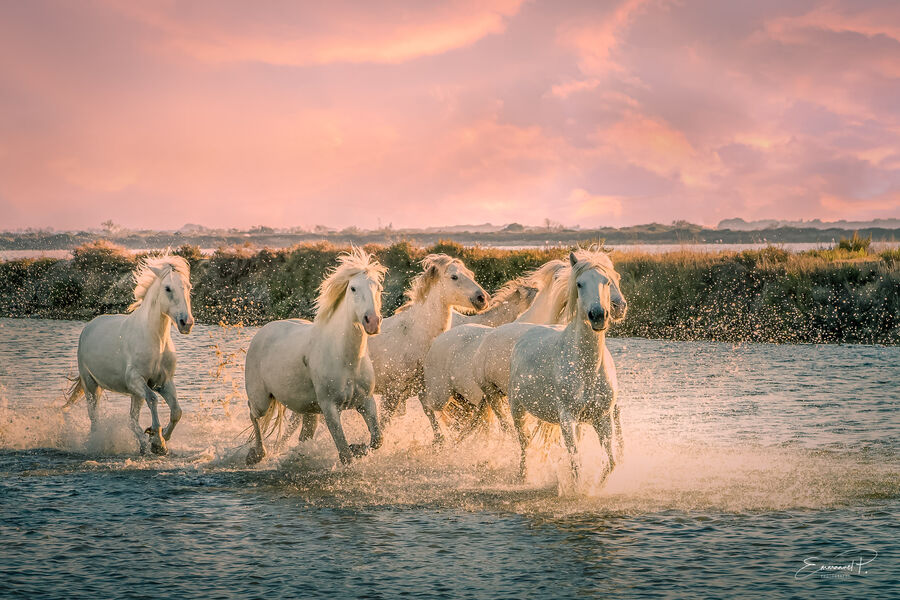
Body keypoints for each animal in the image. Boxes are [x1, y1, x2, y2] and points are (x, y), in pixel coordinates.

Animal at [65, 254, 194, 455]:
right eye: (167, 288)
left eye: (188, 287)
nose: (186, 323)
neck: (155, 339)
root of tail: (89, 326)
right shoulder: (136, 380)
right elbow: (153, 399)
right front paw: (157, 440)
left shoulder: (164, 382)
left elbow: (176, 412)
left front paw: (161, 438)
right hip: (91, 386)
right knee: (95, 419)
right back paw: (97, 443)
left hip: (133, 394)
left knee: (132, 420)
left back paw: (142, 444)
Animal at [244, 248, 386, 466]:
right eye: (353, 288)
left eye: (378, 288)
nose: (372, 321)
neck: (346, 359)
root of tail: (263, 331)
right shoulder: (330, 408)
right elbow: (344, 453)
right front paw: (353, 451)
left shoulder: (366, 402)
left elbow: (377, 439)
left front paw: (358, 447)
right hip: (262, 399)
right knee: (254, 414)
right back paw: (256, 454)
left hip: (309, 410)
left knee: (303, 435)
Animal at [508, 251, 626, 483]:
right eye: (579, 283)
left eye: (608, 281)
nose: (598, 315)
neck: (587, 368)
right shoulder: (567, 418)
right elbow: (576, 463)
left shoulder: (602, 418)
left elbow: (611, 463)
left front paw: (596, 486)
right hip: (517, 409)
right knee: (524, 444)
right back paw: (523, 477)